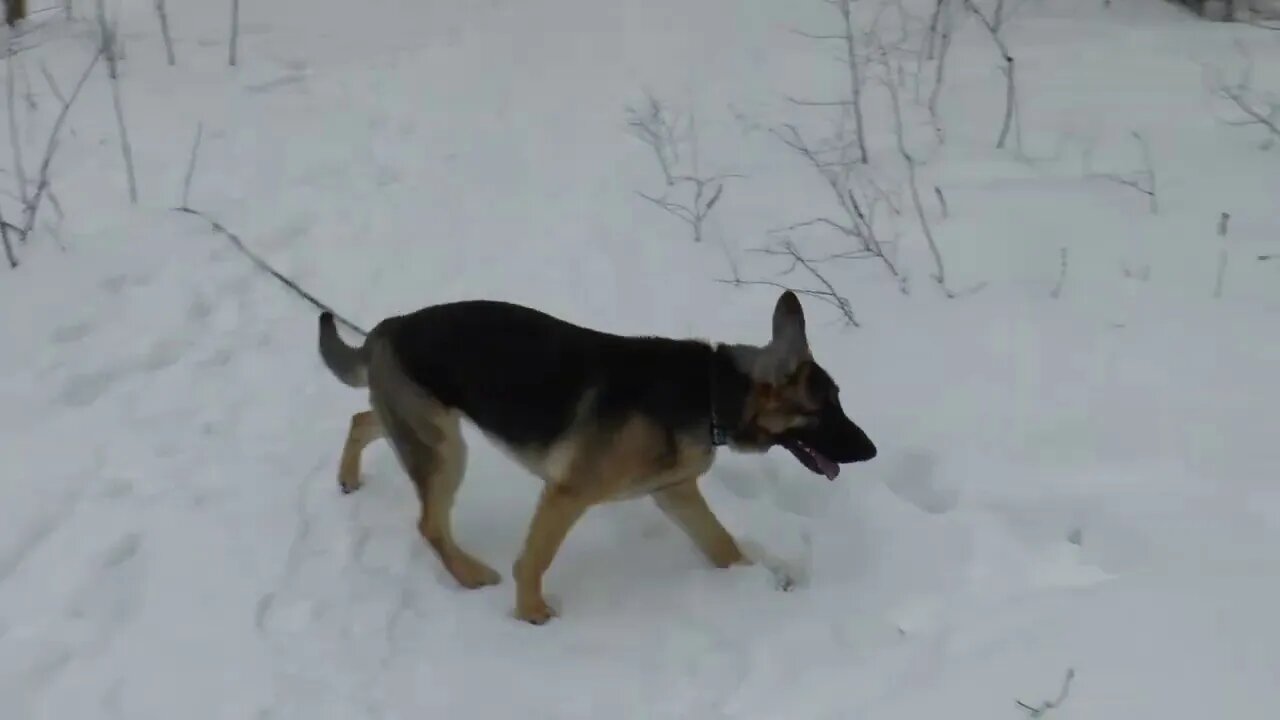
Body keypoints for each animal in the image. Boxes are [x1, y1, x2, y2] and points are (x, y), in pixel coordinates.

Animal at [320, 288, 880, 620]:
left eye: (839, 401)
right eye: (825, 410)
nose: (872, 450)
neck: (710, 393)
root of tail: (387, 328)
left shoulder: (676, 493)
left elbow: (721, 543)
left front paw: (755, 579)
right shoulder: (568, 494)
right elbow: (533, 560)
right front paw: (532, 615)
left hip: (425, 426)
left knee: (362, 420)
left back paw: (348, 476)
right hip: (444, 449)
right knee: (430, 525)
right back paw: (472, 575)